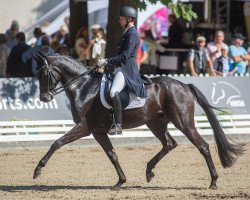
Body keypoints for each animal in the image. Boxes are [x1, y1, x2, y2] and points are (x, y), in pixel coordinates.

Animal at [31, 52, 244, 189]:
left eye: (45, 74)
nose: (44, 98)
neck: (84, 87)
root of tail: (184, 85)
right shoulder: (98, 131)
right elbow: (112, 155)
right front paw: (120, 182)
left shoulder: (85, 127)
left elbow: (57, 143)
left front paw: (38, 170)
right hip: (155, 122)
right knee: (169, 144)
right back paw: (149, 171)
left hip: (183, 122)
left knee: (203, 146)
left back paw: (214, 182)